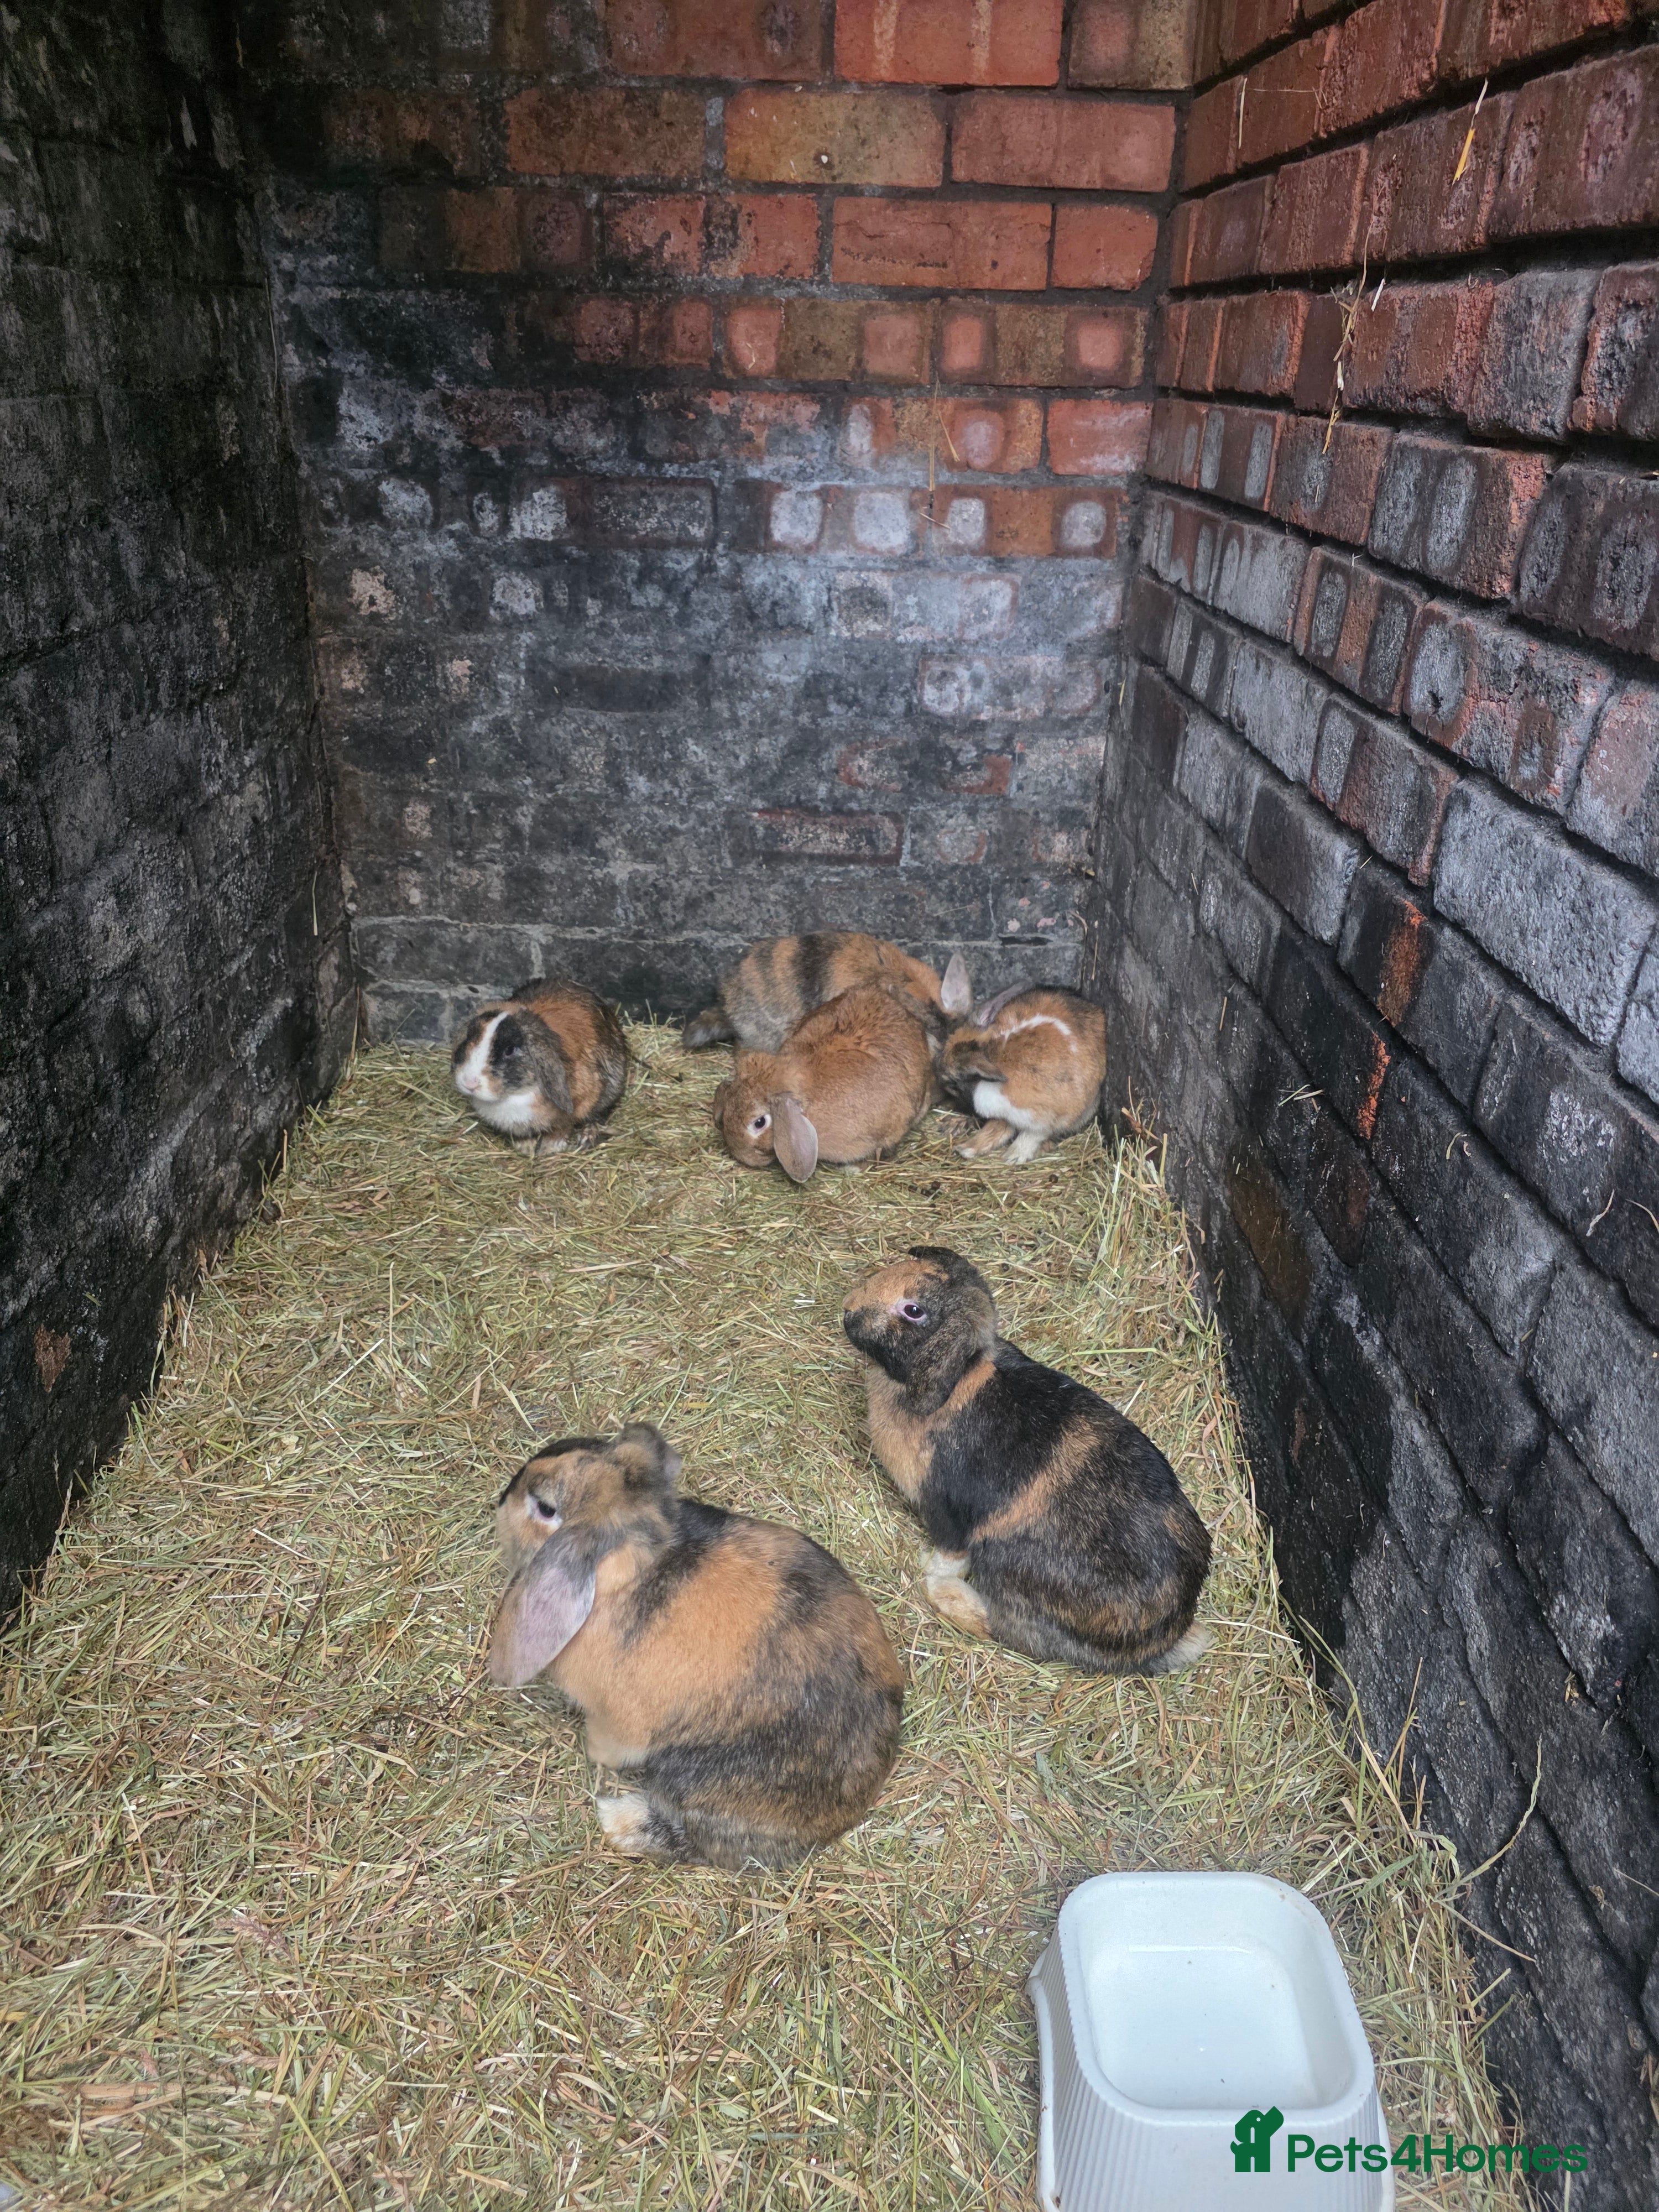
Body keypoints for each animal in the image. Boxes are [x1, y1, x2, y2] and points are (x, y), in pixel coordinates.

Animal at [452, 980, 627, 1155]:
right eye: (469, 1039)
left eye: (510, 1050)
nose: (469, 1083)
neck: (516, 1095)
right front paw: (525, 1148)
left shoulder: (580, 1103)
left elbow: (563, 1126)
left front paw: (550, 1148)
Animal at [487, 1423, 905, 1869]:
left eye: (545, 1509)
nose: (501, 1502)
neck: (635, 1570)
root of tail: (843, 1815)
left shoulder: (619, 1726)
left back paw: (616, 1818)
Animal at [842, 1247, 1211, 1675]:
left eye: (913, 1310)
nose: (848, 1310)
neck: (958, 1378)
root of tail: (1161, 1638)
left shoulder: (945, 1514)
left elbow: (950, 1553)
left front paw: (928, 1565)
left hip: (1004, 1568)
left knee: (1001, 1627)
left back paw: (942, 1591)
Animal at [938, 986, 1107, 1164]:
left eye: (952, 1083)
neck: (995, 1053)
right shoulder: (1007, 1116)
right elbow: (998, 1128)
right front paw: (967, 1149)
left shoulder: (1054, 1117)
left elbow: (1033, 1134)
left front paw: (1013, 1157)